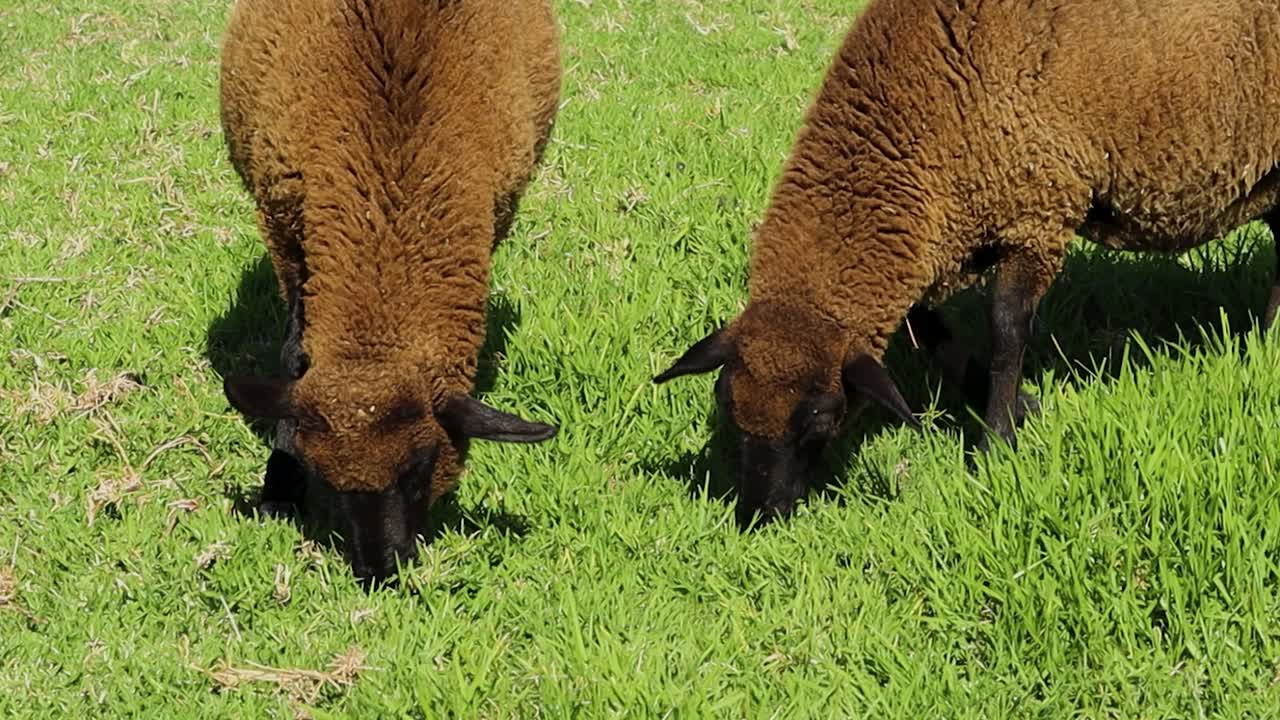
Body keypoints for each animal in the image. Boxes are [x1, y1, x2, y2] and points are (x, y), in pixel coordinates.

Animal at [218, 0, 561, 584]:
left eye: (421, 468)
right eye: (326, 478)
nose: (380, 571)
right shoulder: (286, 234)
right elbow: (292, 359)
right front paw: (279, 490)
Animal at [655, 0, 1280, 523]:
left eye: (823, 417)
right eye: (725, 403)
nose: (759, 515)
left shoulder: (1037, 213)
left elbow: (1005, 330)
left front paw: (995, 445)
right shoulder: (937, 235)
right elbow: (929, 329)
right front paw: (1015, 404)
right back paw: (1263, 344)